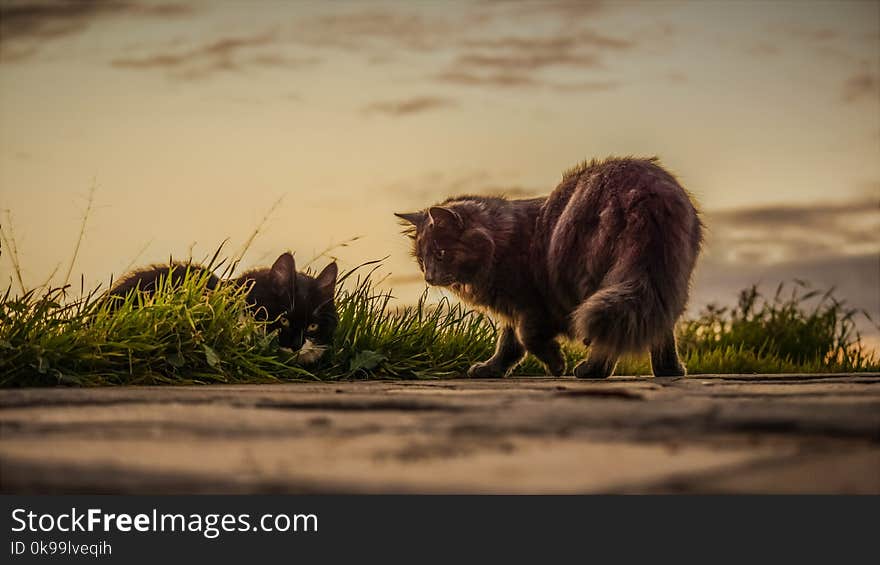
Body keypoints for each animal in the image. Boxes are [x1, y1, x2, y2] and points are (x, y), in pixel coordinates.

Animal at [398, 155, 700, 378]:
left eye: (441, 253)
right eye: (422, 259)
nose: (428, 277)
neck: (501, 241)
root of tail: (645, 190)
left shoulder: (530, 304)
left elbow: (526, 338)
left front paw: (557, 364)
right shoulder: (513, 309)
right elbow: (508, 346)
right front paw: (491, 369)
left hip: (592, 278)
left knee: (609, 331)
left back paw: (592, 370)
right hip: (662, 276)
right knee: (660, 326)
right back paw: (669, 370)